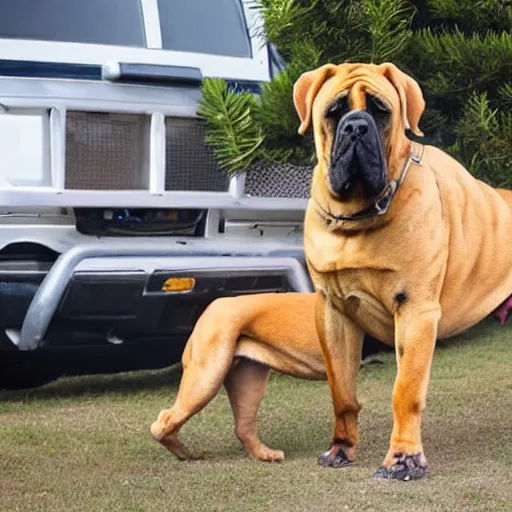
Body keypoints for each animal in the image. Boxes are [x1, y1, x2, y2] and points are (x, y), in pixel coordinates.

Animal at [296, 63, 512, 480]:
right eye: (334, 111)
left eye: (381, 111)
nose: (356, 127)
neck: (356, 219)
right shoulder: (333, 314)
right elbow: (341, 391)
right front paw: (341, 449)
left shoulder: (415, 310)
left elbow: (405, 391)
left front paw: (403, 458)